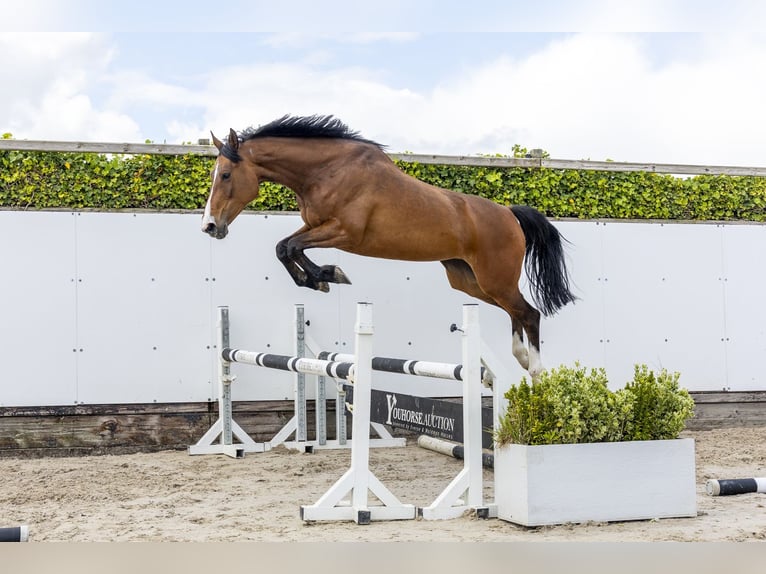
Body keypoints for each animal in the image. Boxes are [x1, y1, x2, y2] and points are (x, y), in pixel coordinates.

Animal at [202, 115, 575, 378]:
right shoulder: (315, 225)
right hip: (470, 281)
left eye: (226, 175)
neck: (326, 171)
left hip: (493, 279)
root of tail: (509, 214)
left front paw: (328, 275)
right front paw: (321, 278)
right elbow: (284, 247)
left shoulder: (344, 232)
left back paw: (536, 371)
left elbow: (291, 247)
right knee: (517, 311)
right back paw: (522, 358)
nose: (210, 226)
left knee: (529, 312)